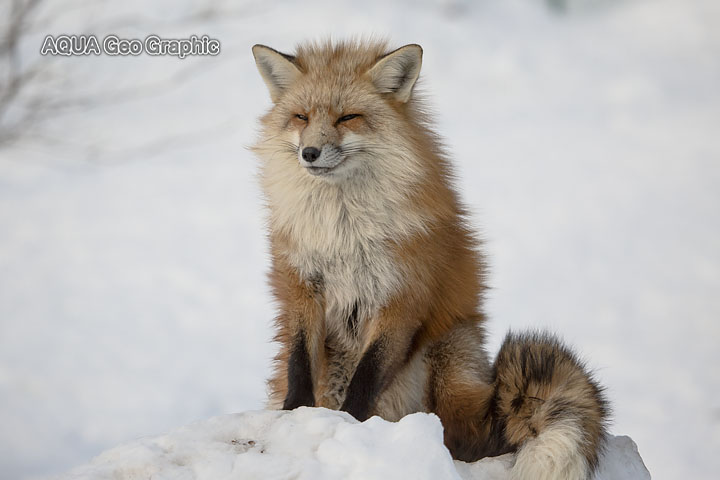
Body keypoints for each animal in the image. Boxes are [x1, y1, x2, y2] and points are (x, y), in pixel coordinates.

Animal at [251, 39, 608, 479]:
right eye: (301, 117)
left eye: (348, 117)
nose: (310, 152)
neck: (343, 230)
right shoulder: (302, 284)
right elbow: (300, 363)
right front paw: (295, 417)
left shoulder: (401, 294)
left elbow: (367, 377)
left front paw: (350, 426)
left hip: (450, 359)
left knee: (472, 440)